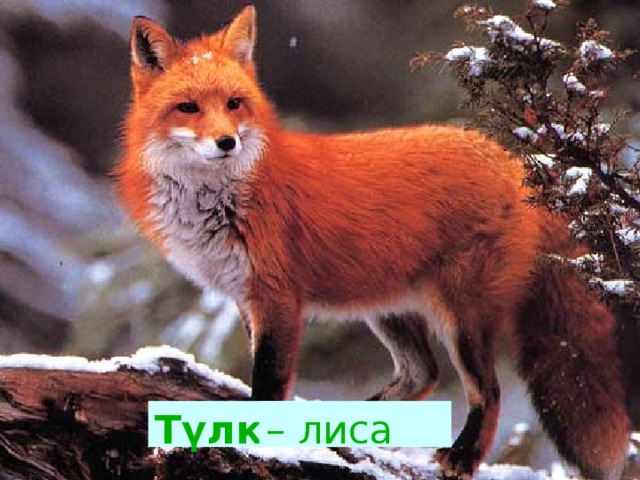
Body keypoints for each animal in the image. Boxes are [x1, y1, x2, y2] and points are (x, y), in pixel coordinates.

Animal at [116, 6, 630, 480]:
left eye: (234, 103)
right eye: (188, 107)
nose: (227, 143)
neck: (221, 199)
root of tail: (515, 161)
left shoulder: (277, 298)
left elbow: (268, 382)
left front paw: (258, 444)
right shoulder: (246, 297)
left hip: (461, 316)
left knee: (488, 390)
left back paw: (463, 456)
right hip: (388, 309)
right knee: (422, 375)